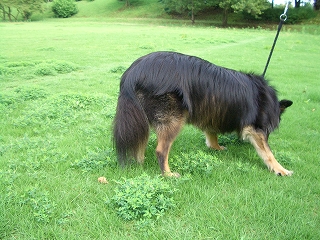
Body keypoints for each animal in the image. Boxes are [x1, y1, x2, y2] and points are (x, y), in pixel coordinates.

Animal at [112, 51, 292, 176]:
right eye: (269, 130)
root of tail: (132, 73)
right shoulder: (256, 129)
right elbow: (268, 153)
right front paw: (280, 169)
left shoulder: (211, 115)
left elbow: (212, 134)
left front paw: (216, 147)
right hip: (173, 120)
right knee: (161, 150)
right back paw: (168, 174)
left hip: (141, 119)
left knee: (140, 141)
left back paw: (139, 162)